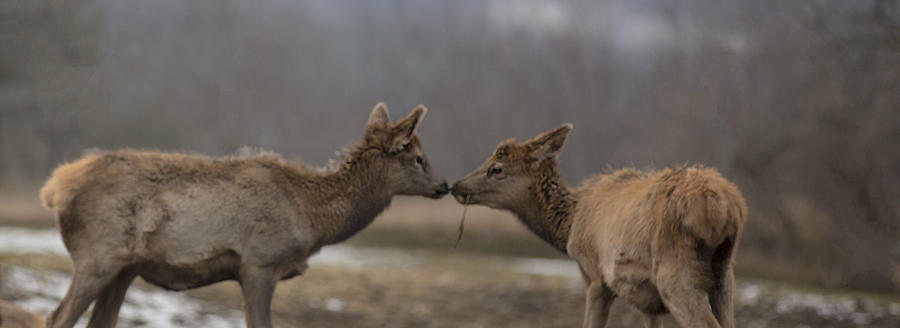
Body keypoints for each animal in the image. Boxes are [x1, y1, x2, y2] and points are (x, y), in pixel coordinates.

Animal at [38, 104, 446, 328]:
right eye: (418, 157)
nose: (444, 185)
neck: (311, 217)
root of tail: (54, 187)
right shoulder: (260, 262)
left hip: (124, 268)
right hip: (98, 255)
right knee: (57, 317)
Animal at [454, 123, 748, 328]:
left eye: (496, 168)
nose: (456, 185)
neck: (570, 224)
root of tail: (723, 205)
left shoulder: (594, 274)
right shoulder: (648, 303)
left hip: (674, 272)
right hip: (724, 274)